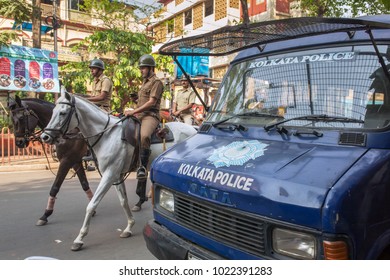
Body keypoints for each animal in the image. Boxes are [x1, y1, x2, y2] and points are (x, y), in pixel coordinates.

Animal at [41, 88, 197, 252]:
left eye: (63, 113)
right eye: (53, 111)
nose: (45, 137)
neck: (106, 135)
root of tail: (193, 128)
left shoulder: (108, 175)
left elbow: (91, 205)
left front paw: (79, 238)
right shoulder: (116, 175)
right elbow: (123, 201)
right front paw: (129, 227)